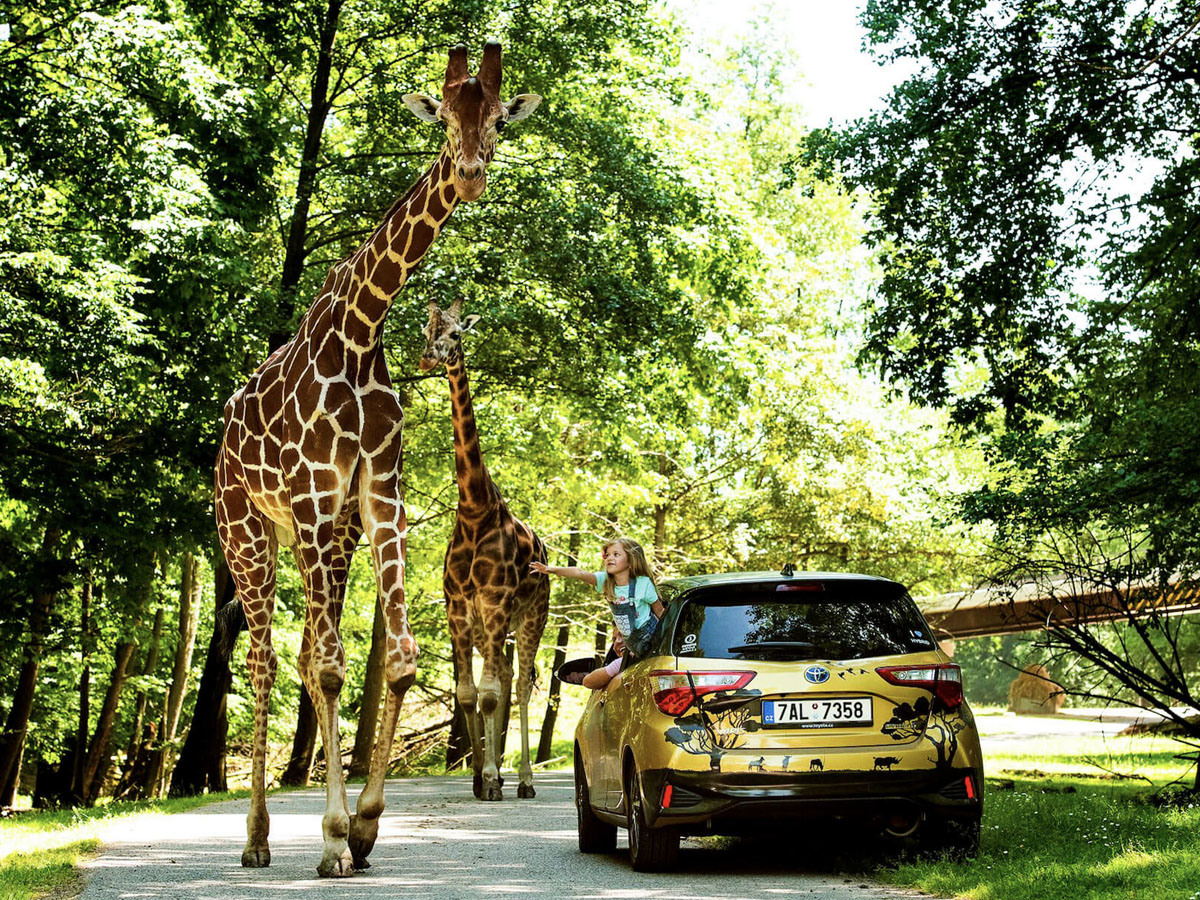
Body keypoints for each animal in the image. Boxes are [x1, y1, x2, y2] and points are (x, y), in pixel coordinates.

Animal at [420, 301, 549, 801]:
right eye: (427, 330)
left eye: (456, 334)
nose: (428, 357)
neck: (475, 510)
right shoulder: (458, 607)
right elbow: (469, 693)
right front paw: (479, 776)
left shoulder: (495, 602)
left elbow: (492, 694)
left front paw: (493, 778)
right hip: (487, 627)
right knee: (506, 680)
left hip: (531, 618)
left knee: (520, 687)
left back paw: (526, 781)